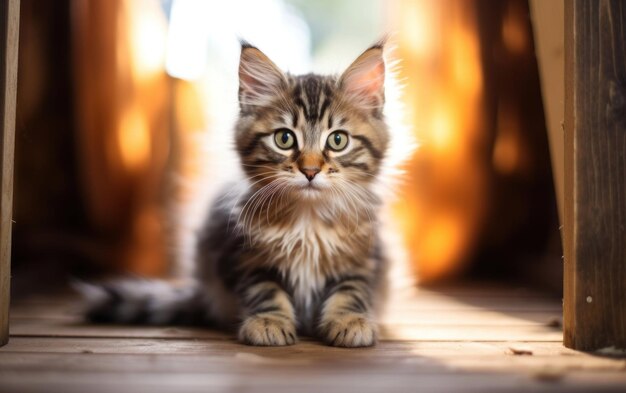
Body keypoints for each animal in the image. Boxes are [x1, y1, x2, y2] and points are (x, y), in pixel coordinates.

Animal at [84, 39, 390, 346]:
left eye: (337, 140)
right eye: (284, 138)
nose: (310, 171)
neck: (308, 219)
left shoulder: (363, 259)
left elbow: (350, 290)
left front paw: (349, 321)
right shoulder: (245, 256)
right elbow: (265, 290)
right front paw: (269, 322)